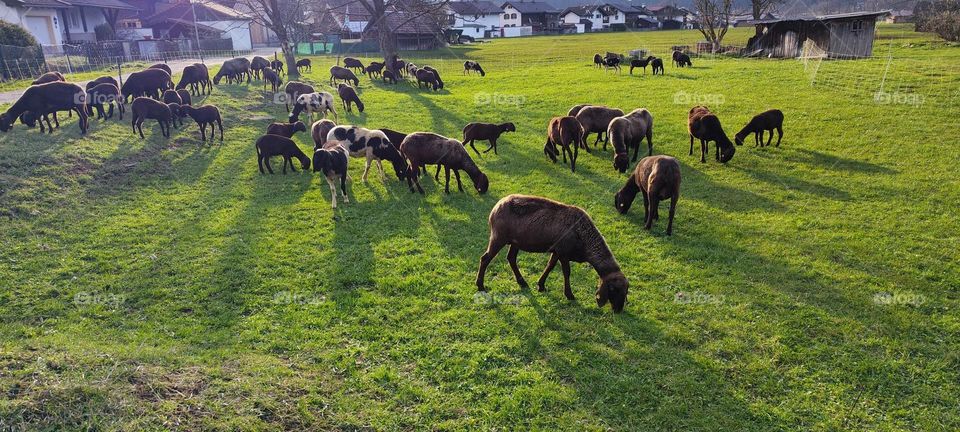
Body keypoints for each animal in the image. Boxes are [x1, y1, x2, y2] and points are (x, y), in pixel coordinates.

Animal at [475, 194, 629, 313]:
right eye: (613, 289)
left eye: (626, 291)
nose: (619, 310)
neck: (584, 239)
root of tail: (496, 206)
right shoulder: (563, 252)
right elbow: (566, 272)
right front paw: (569, 295)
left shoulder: (556, 251)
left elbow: (550, 266)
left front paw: (541, 285)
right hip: (498, 237)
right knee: (485, 259)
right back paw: (480, 285)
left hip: (515, 242)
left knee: (511, 258)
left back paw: (522, 282)